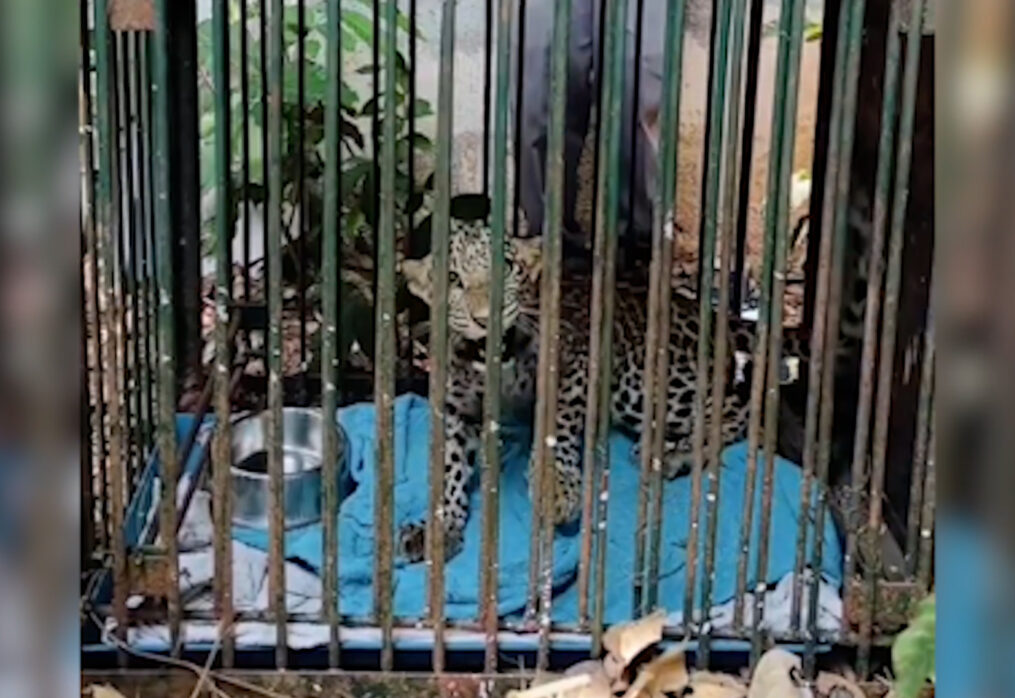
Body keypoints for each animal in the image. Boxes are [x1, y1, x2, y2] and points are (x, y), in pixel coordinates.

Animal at [391, 221, 812, 564]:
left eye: (507, 267)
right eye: (453, 278)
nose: (485, 318)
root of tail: (707, 313)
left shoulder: (575, 363)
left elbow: (557, 427)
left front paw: (557, 487)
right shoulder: (455, 408)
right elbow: (449, 467)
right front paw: (439, 527)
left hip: (640, 386)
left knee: (742, 408)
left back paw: (674, 453)